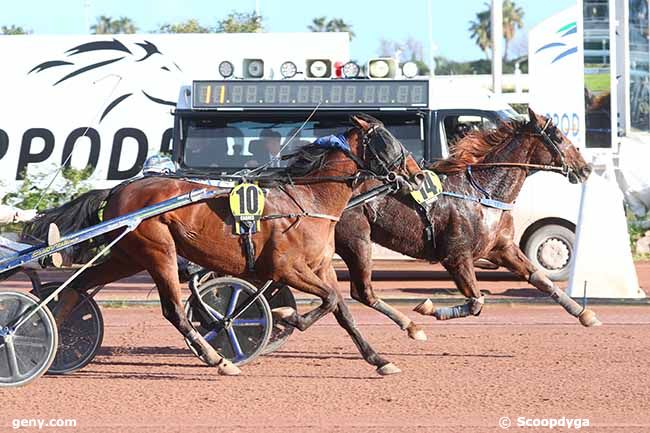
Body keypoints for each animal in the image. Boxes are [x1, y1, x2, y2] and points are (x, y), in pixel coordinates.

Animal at [38, 115, 422, 374]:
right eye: (389, 140)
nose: (418, 175)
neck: (308, 200)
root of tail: (119, 189)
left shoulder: (321, 267)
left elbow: (341, 309)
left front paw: (379, 359)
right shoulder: (286, 268)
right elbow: (327, 300)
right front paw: (286, 315)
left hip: (126, 257)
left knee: (77, 287)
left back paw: (54, 337)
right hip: (159, 252)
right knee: (174, 311)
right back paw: (218, 359)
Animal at [334, 106, 596, 340]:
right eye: (558, 136)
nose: (585, 168)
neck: (483, 193)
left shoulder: (502, 248)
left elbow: (541, 279)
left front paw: (584, 314)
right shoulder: (457, 256)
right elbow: (476, 302)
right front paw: (428, 308)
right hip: (358, 241)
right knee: (361, 291)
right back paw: (411, 327)